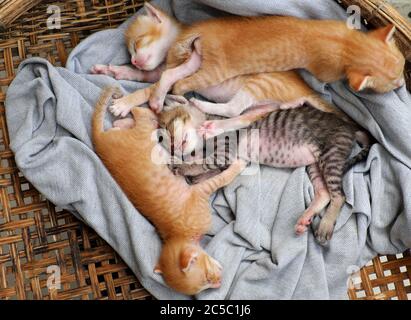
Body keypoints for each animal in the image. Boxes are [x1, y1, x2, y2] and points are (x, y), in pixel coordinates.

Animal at [92, 85, 246, 296]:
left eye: (168, 128)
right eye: (206, 281)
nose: (219, 283)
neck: (178, 234)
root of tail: (99, 141)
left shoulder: (219, 152)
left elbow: (210, 167)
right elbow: (209, 171)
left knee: (143, 113)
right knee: (143, 115)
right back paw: (123, 117)